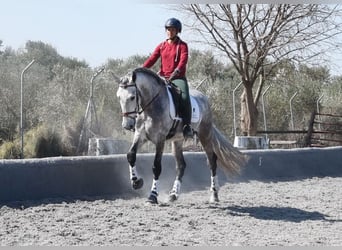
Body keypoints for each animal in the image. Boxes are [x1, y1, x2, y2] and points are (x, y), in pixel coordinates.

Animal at [116, 67, 244, 204]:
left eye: (132, 97)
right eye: (119, 97)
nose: (127, 125)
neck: (151, 107)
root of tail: (204, 98)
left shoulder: (160, 139)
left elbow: (156, 167)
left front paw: (153, 195)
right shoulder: (141, 135)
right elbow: (131, 155)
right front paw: (136, 182)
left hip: (205, 134)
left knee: (212, 161)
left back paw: (214, 194)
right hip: (177, 140)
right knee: (181, 165)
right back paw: (173, 194)